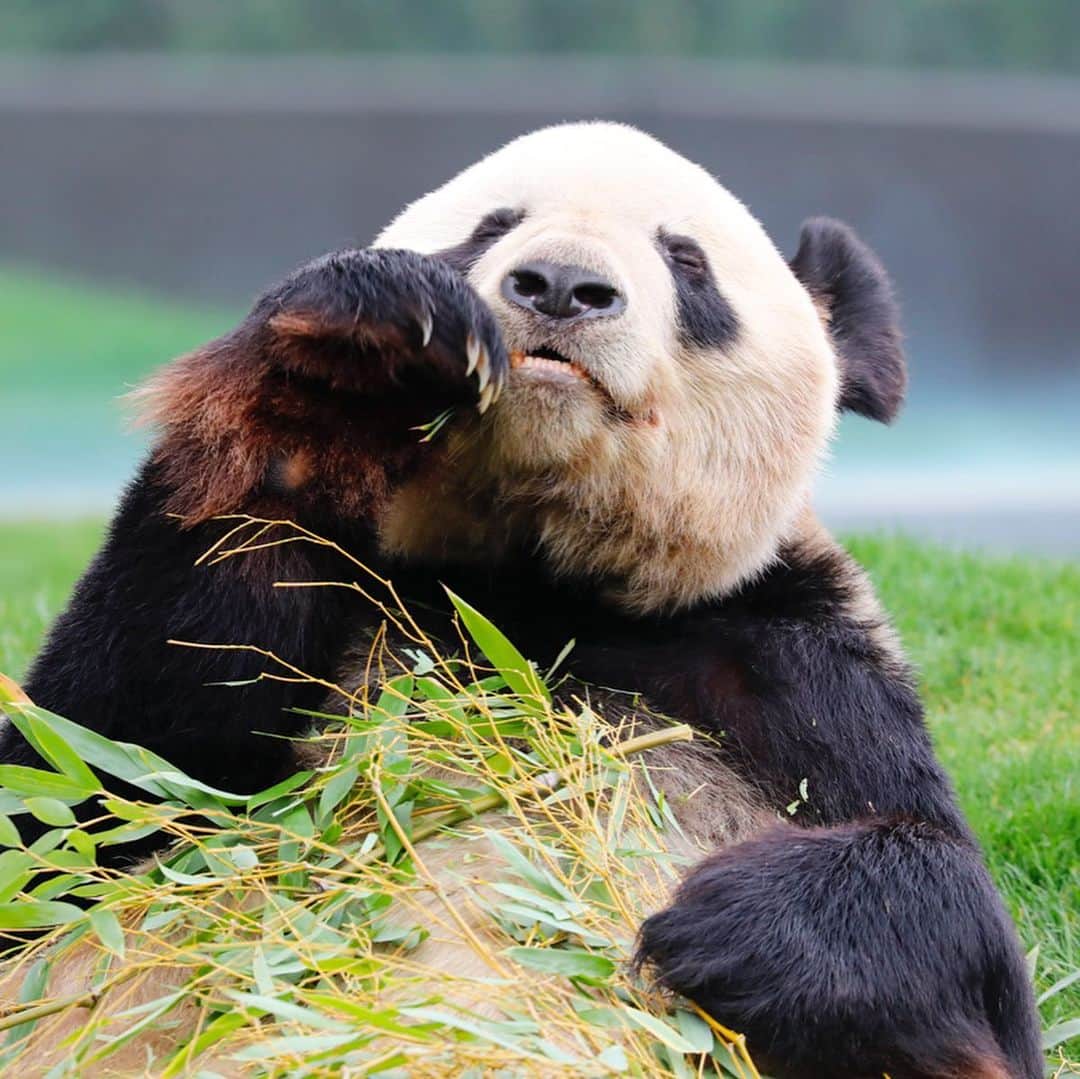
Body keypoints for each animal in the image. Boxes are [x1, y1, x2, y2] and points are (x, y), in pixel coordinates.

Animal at [2, 123, 1040, 1078]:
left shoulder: (788, 673)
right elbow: (90, 792)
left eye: (686, 259)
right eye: (491, 227)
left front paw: (728, 927)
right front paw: (360, 352)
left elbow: (963, 941)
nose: (561, 286)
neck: (539, 584)